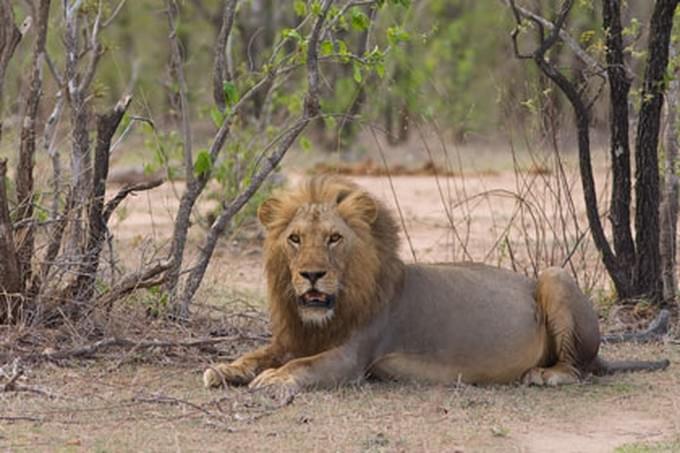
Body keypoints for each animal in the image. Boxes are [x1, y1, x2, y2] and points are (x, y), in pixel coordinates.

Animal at [203, 175, 668, 390]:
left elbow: (304, 366)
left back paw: (545, 375)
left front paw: (273, 379)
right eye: (295, 239)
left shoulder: (354, 357)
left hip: (554, 275)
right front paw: (224, 369)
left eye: (334, 238)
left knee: (577, 369)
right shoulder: (291, 338)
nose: (312, 275)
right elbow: (256, 355)